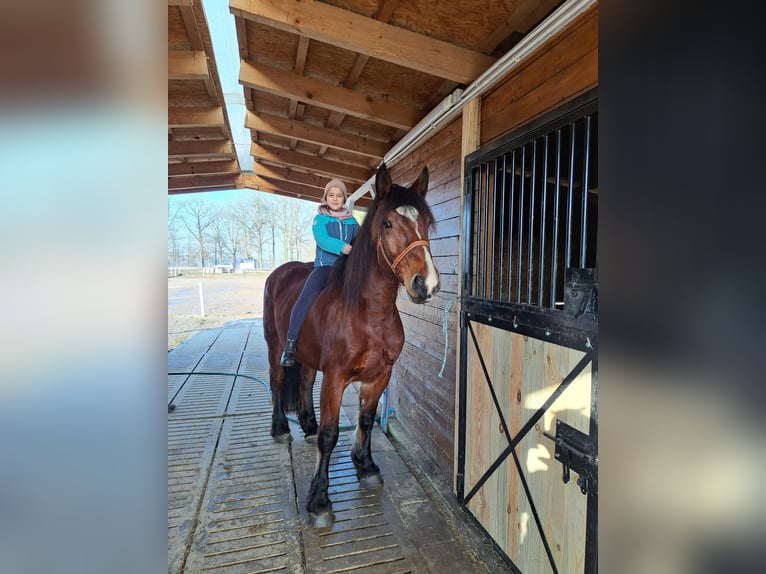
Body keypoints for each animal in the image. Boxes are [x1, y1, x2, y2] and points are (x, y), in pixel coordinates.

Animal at [264, 162, 440, 528]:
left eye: (426, 222)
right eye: (388, 223)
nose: (426, 284)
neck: (366, 312)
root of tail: (279, 273)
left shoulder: (380, 376)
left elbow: (366, 420)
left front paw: (366, 466)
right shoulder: (335, 378)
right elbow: (331, 435)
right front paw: (319, 500)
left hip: (307, 357)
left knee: (304, 381)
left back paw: (307, 425)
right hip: (275, 347)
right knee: (277, 381)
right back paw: (281, 429)